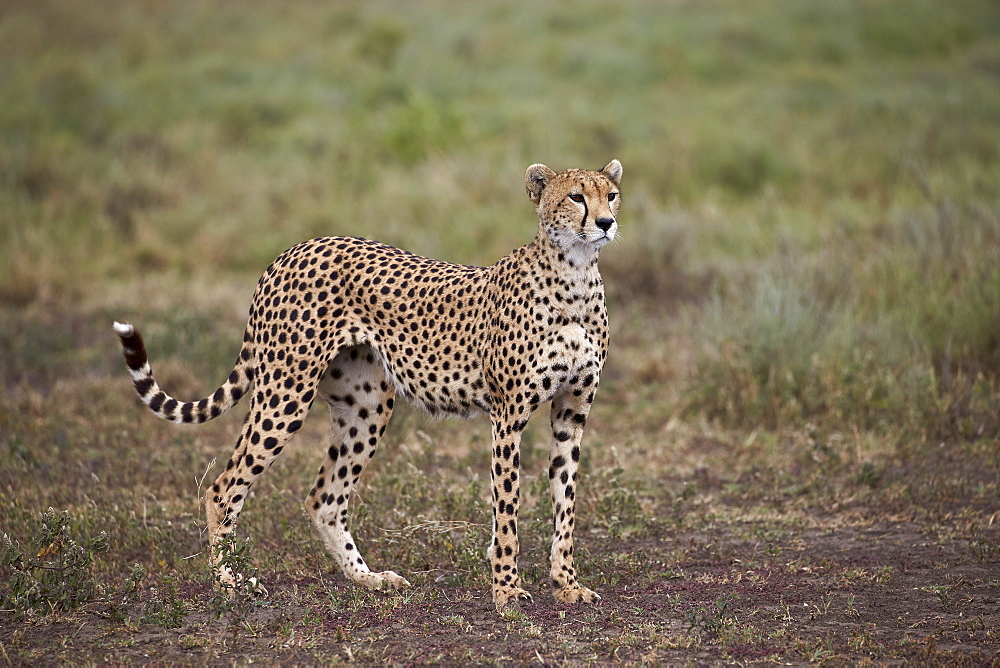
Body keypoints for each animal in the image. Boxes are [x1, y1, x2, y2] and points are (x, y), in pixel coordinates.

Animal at [113, 159, 620, 608]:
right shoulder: (508, 416)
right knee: (224, 487)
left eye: (611, 194)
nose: (607, 222)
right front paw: (507, 592)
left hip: (367, 404)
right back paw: (228, 582)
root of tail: (295, 248)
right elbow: (508, 511)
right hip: (286, 392)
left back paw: (368, 579)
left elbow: (566, 503)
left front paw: (567, 584)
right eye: (576, 197)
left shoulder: (571, 413)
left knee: (324, 497)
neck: (575, 275)